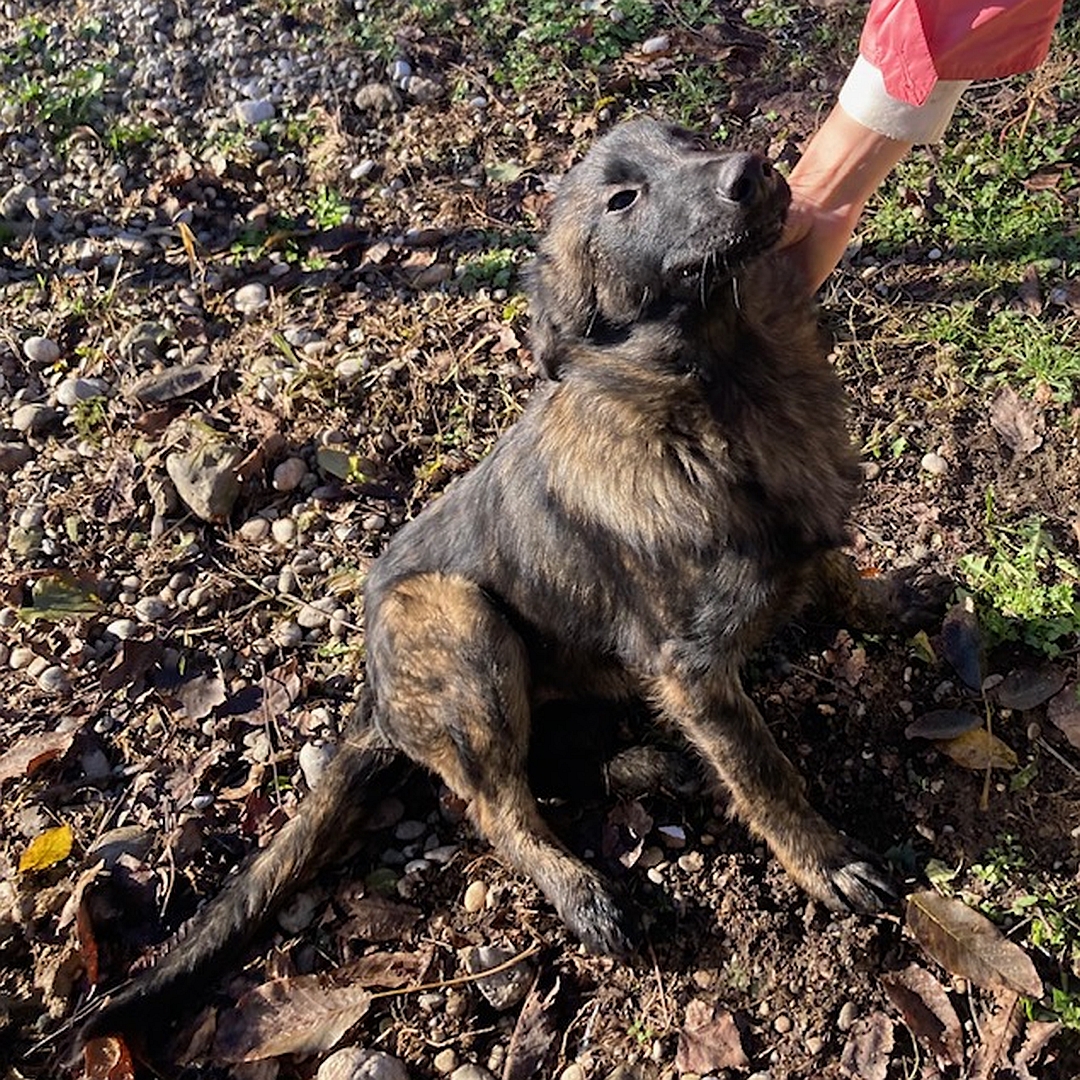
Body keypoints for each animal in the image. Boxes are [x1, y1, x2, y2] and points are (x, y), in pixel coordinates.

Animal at [79, 118, 941, 1036]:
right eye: (622, 199)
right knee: (497, 804)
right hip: (459, 618)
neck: (724, 386)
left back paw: (650, 766)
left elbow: (838, 573)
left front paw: (891, 600)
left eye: (684, 137)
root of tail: (371, 701)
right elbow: (768, 777)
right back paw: (583, 890)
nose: (752, 171)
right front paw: (826, 861)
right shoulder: (693, 671)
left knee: (550, 765)